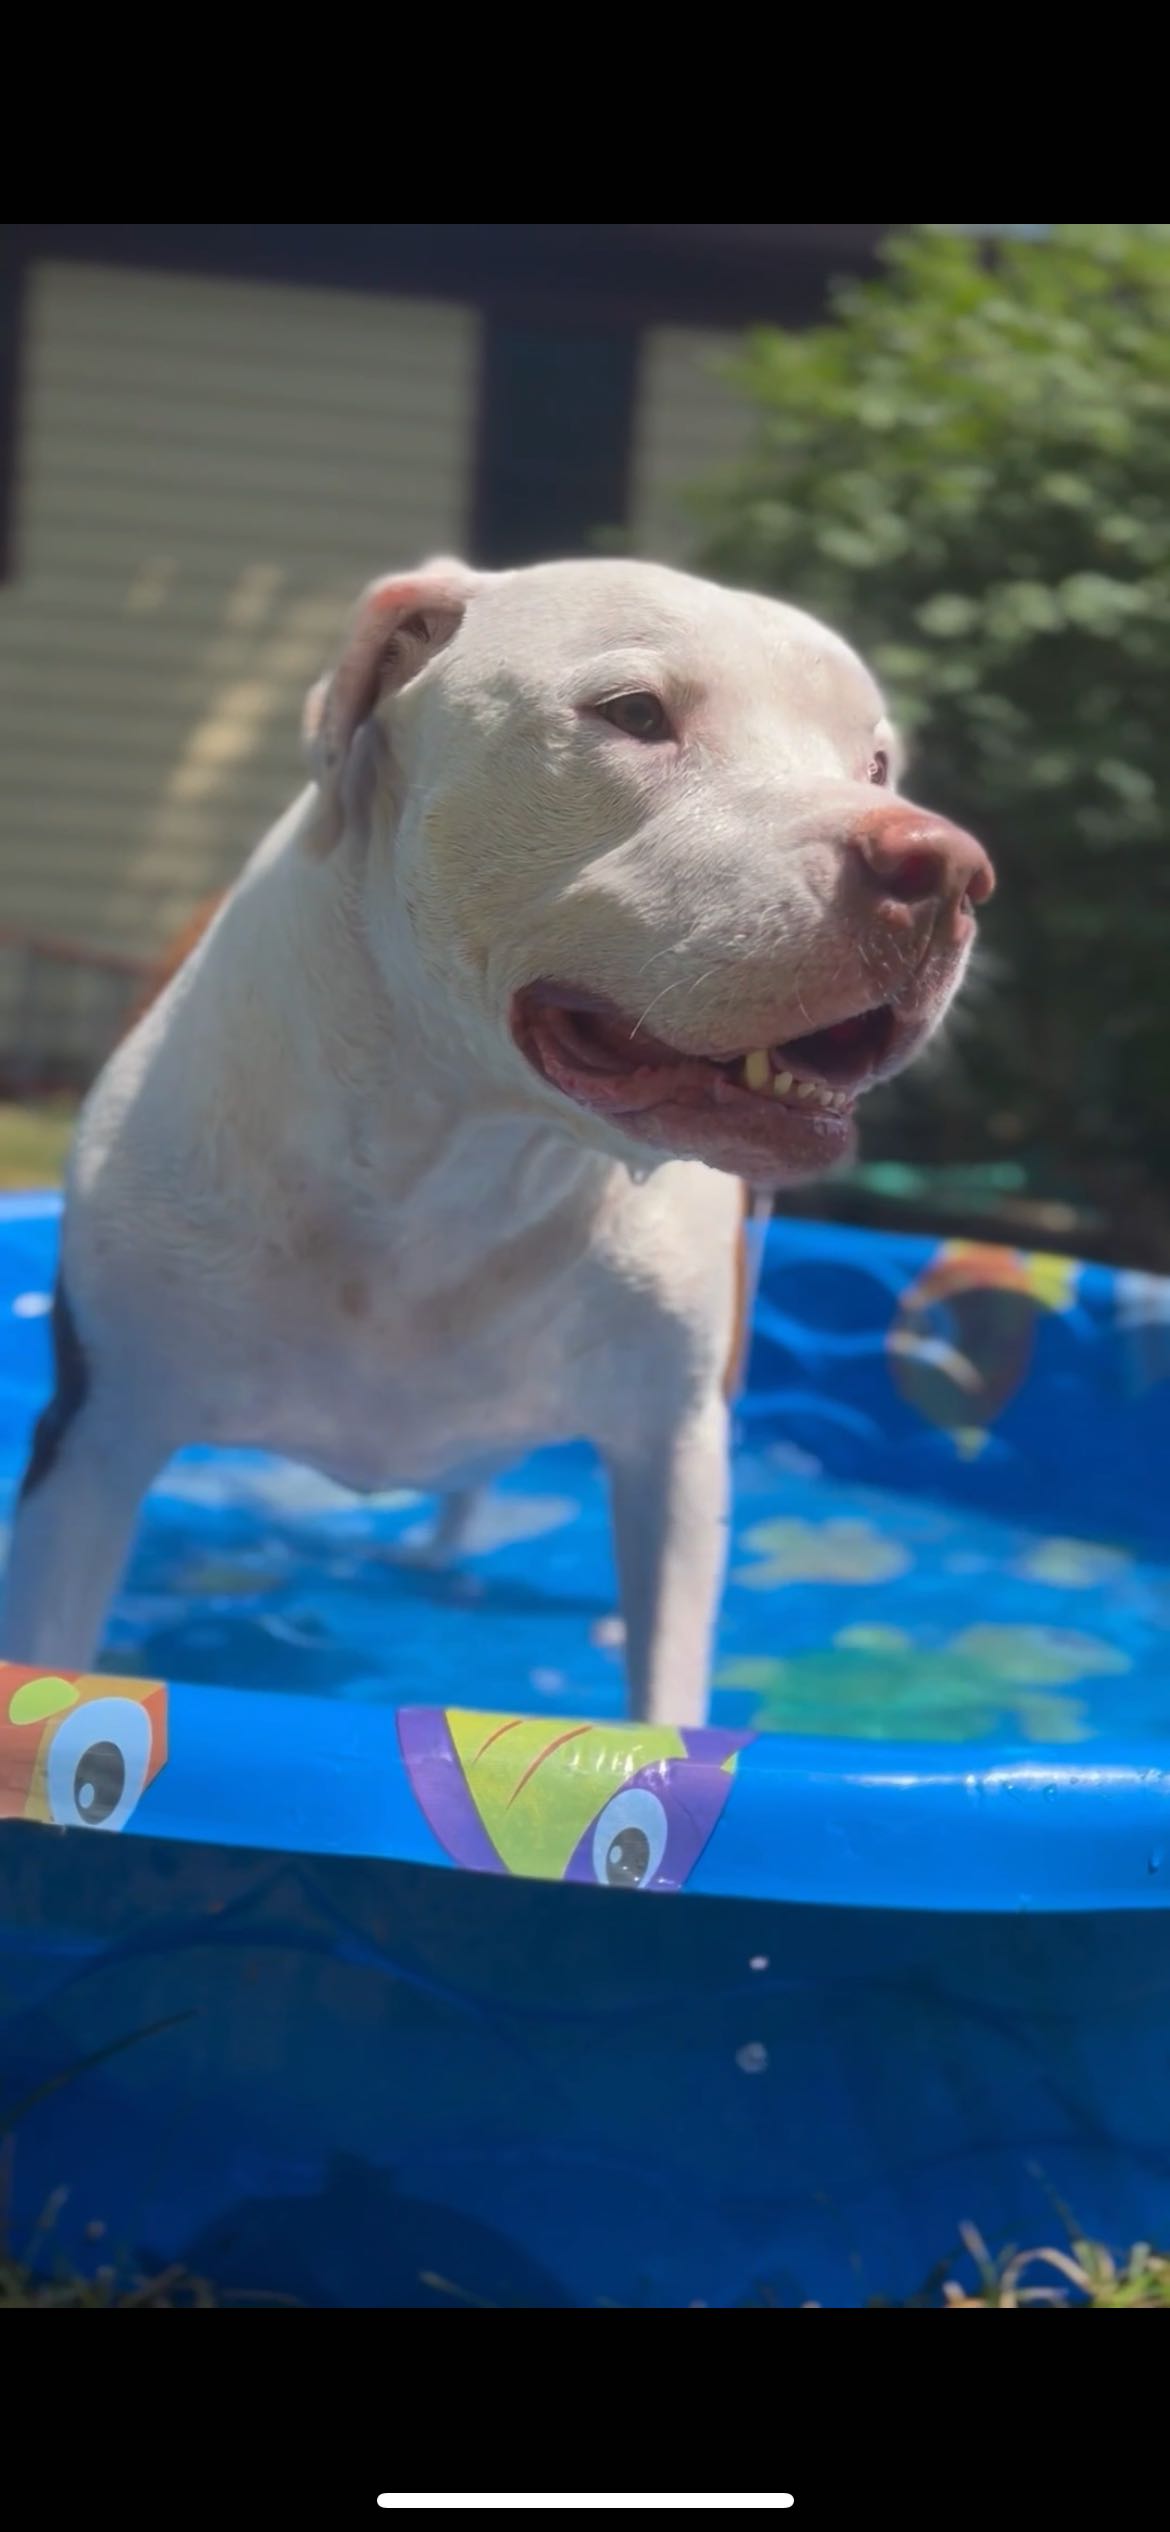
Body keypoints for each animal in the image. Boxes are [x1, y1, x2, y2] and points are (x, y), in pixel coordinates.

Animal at [1, 556, 992, 1722]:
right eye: (635, 713)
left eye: (875, 763)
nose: (947, 869)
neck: (456, 1159)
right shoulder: (93, 1443)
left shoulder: (672, 1445)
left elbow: (668, 1679)